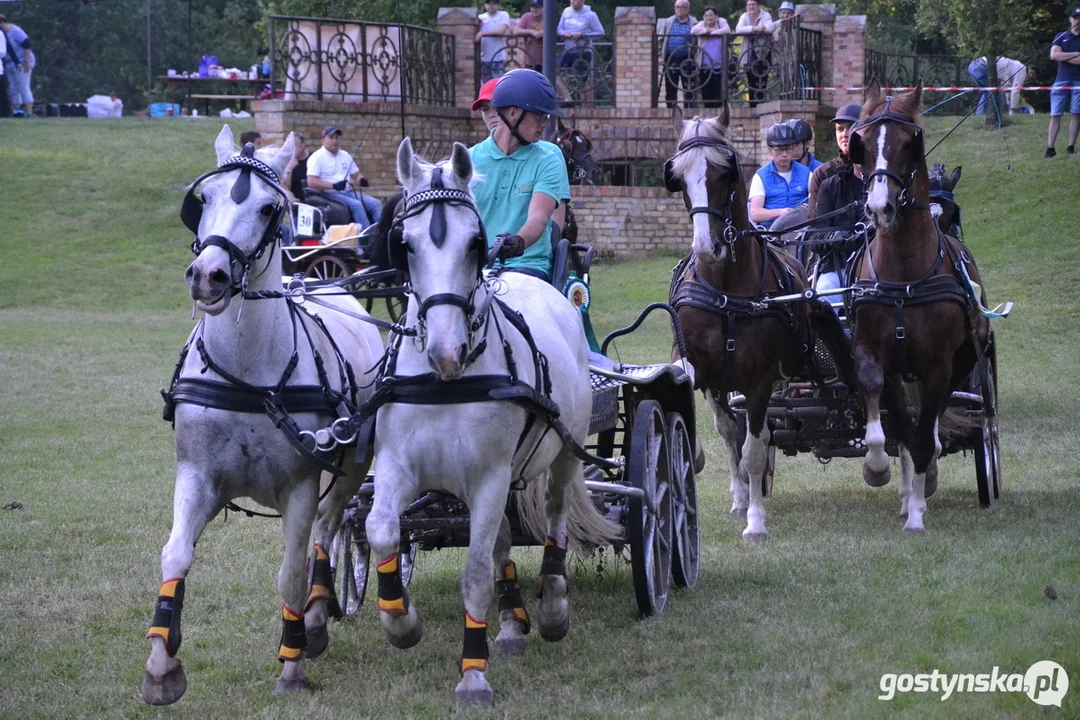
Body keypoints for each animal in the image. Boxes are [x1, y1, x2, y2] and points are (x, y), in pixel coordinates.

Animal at [141, 126, 382, 708]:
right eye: (203, 198)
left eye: (271, 207)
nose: (208, 276)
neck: (250, 375)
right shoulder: (197, 476)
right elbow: (174, 555)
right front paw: (162, 662)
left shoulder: (300, 485)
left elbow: (291, 573)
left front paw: (292, 662)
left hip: (350, 471)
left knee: (328, 530)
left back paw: (314, 619)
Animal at [367, 138, 622, 708]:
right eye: (405, 245)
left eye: (474, 243)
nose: (445, 351)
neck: (447, 382)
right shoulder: (397, 466)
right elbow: (381, 532)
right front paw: (401, 621)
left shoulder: (488, 475)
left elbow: (476, 571)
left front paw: (473, 673)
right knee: (504, 538)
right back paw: (510, 622)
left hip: (563, 453)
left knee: (553, 520)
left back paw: (550, 607)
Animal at [665, 105, 851, 535]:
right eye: (677, 176)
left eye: (726, 172)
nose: (707, 248)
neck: (725, 289)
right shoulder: (695, 362)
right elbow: (709, 418)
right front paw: (705, 465)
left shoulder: (760, 377)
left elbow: (752, 449)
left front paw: (755, 523)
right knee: (734, 430)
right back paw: (740, 495)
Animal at [846, 83, 989, 535]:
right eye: (861, 142)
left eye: (910, 142)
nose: (879, 208)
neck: (904, 274)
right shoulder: (872, 353)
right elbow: (888, 423)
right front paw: (877, 469)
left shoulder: (938, 365)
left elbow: (926, 434)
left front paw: (917, 514)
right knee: (908, 430)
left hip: (962, 363)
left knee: (931, 423)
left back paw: (921, 493)